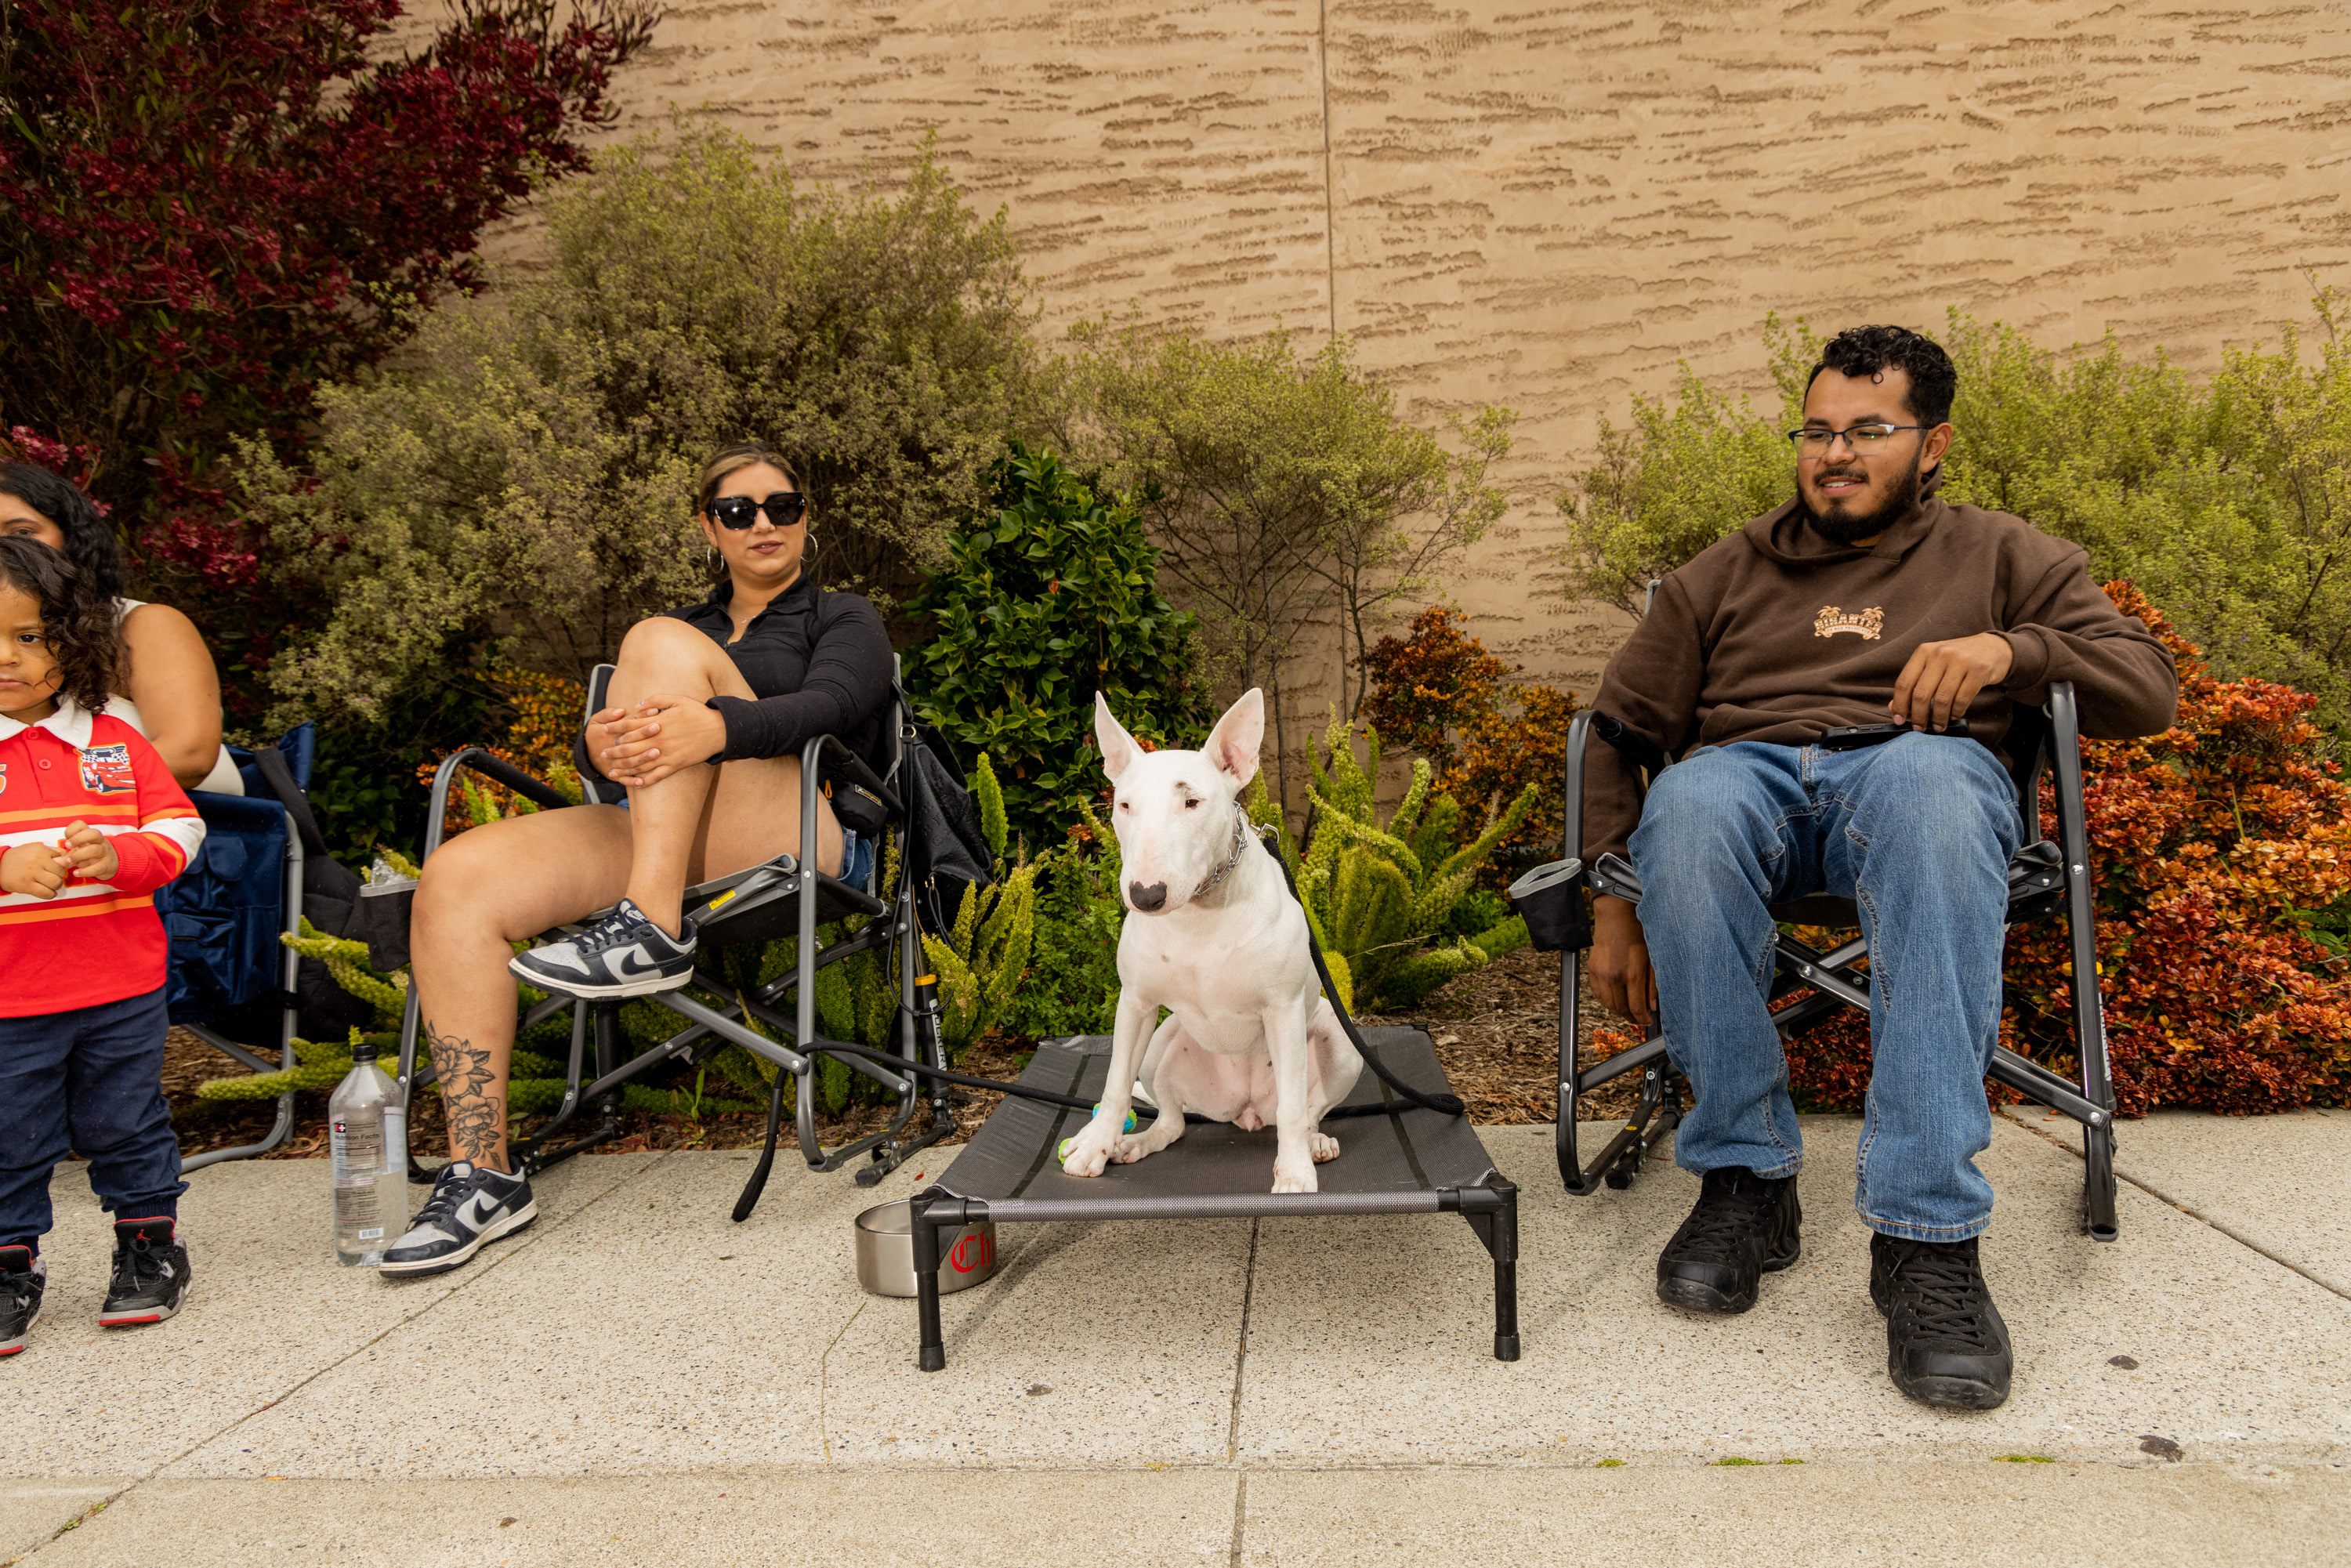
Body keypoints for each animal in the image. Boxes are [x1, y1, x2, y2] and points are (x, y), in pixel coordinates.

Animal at [1063, 686, 1373, 1190]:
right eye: (1125, 806)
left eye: (1192, 802)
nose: (1145, 895)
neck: (1198, 916)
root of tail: (1245, 1110)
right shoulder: (1135, 1003)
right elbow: (1114, 1084)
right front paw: (1096, 1146)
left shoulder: (1283, 1010)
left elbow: (1294, 1107)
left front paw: (1294, 1174)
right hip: (1163, 1041)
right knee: (1173, 1120)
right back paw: (1135, 1143)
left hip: (1340, 1039)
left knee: (1307, 1111)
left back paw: (1313, 1145)